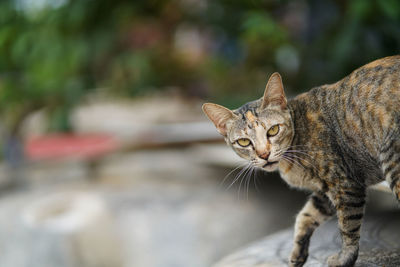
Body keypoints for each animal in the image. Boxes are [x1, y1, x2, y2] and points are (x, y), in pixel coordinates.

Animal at [202, 55, 400, 266]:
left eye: (273, 130)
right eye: (244, 142)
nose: (264, 154)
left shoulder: (345, 185)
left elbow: (348, 225)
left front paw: (345, 257)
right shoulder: (325, 191)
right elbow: (305, 216)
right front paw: (298, 253)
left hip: (392, 159)